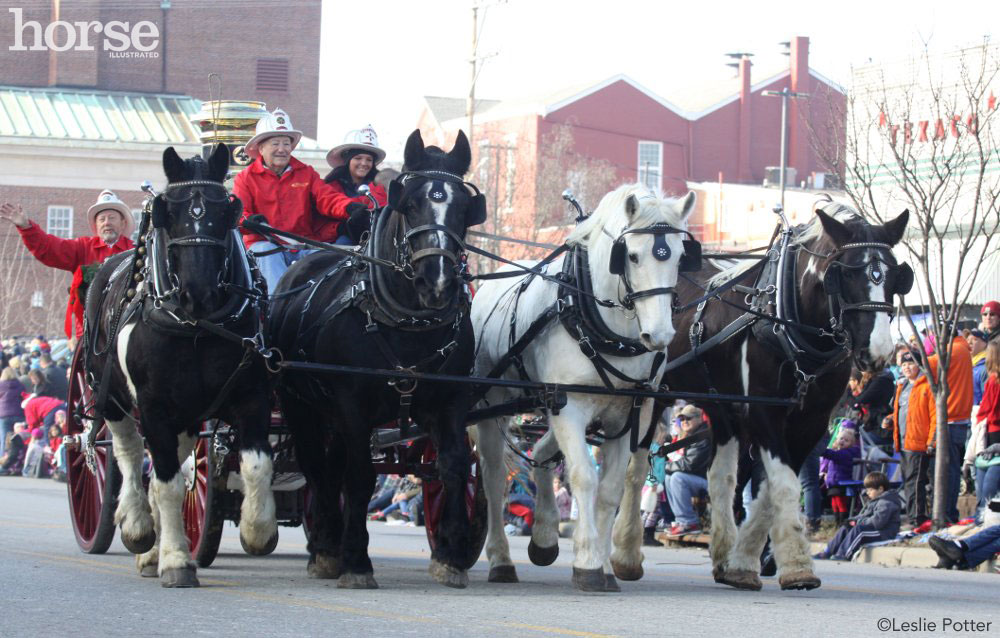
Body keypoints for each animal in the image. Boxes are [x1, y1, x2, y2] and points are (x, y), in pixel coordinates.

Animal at [82, 145, 276, 592]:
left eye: (226, 211)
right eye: (167, 212)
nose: (198, 292)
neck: (196, 327)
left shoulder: (251, 397)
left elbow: (258, 465)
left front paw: (257, 530)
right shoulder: (154, 407)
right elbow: (168, 483)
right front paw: (175, 560)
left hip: (188, 415)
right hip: (111, 396)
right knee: (129, 454)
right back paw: (139, 529)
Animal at [266, 129, 484, 592]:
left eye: (463, 206)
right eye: (411, 202)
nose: (437, 282)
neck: (407, 323)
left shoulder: (450, 401)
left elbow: (454, 466)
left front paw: (451, 555)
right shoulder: (353, 404)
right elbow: (361, 476)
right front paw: (356, 561)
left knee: (329, 469)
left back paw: (326, 541)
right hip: (300, 404)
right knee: (317, 467)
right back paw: (327, 549)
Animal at [470, 185, 696, 596]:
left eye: (679, 255)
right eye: (632, 255)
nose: (659, 335)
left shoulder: (629, 413)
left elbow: (609, 489)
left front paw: (605, 566)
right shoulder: (570, 405)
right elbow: (584, 477)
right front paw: (588, 562)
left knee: (541, 453)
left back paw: (544, 536)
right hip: (497, 403)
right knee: (494, 477)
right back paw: (500, 559)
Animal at [608, 201, 916, 596]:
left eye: (894, 278)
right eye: (844, 275)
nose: (877, 352)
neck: (789, 320)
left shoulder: (810, 421)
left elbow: (769, 489)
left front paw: (742, 562)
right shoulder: (764, 411)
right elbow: (782, 485)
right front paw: (797, 566)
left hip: (720, 407)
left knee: (720, 477)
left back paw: (721, 552)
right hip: (651, 398)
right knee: (635, 470)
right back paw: (626, 555)